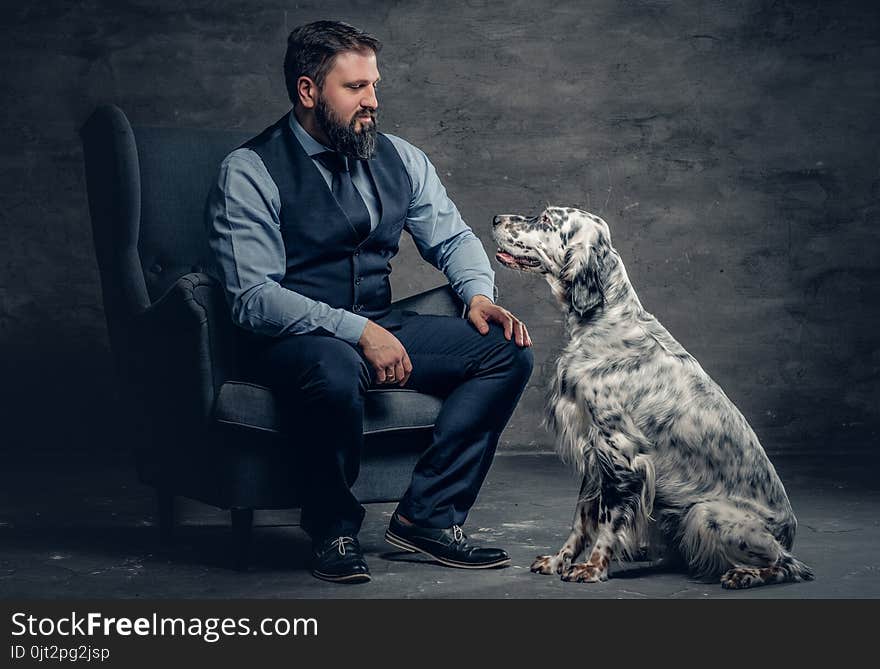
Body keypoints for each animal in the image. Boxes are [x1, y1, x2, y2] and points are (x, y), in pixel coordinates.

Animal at [492, 206, 816, 588]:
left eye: (545, 219)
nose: (496, 219)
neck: (604, 321)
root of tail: (789, 532)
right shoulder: (593, 454)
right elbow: (581, 519)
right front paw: (560, 560)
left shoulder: (621, 453)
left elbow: (608, 520)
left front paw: (592, 568)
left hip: (706, 513)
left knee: (791, 565)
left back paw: (745, 574)